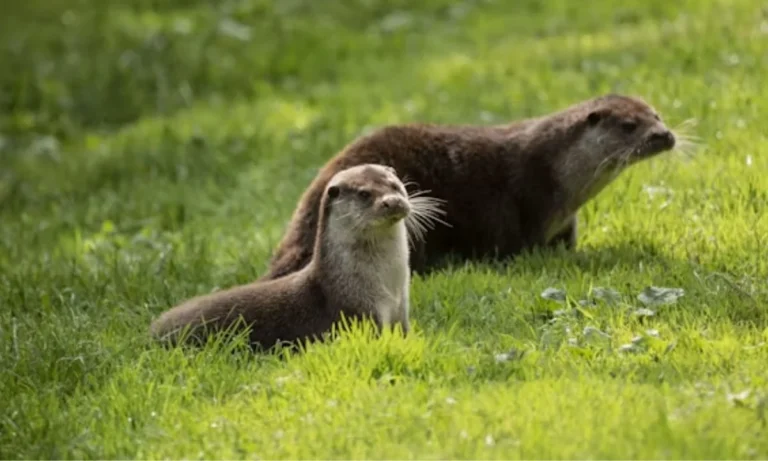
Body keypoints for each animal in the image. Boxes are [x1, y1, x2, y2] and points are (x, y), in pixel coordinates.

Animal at [149, 164, 443, 350]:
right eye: (364, 193)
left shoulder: (401, 310)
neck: (387, 286)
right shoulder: (361, 313)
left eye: (395, 185)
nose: (392, 201)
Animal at [264, 93, 683, 280]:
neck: (553, 173)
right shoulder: (516, 205)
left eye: (657, 114)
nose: (665, 135)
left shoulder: (565, 223)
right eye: (629, 125)